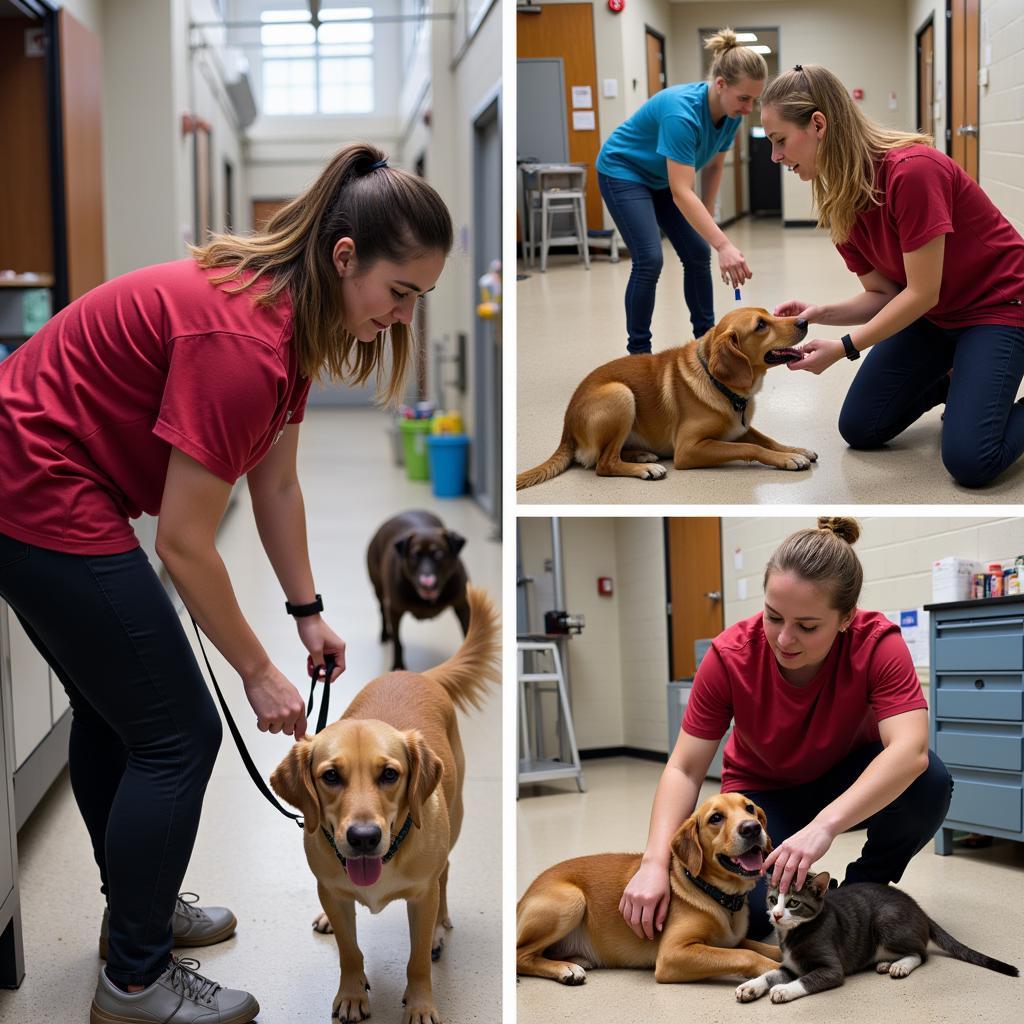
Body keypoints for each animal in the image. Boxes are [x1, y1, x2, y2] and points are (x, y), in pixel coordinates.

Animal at [270, 585, 497, 1024]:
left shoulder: (421, 898)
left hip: (454, 821)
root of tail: (416, 673)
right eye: (330, 776)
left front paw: (422, 1002)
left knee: (445, 875)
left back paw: (440, 928)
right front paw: (352, 993)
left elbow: (417, 961)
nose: (362, 837)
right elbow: (349, 951)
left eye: (390, 775)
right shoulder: (336, 895)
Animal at [516, 305, 819, 489]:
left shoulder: (740, 428)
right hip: (621, 394)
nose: (804, 320)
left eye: (770, 314)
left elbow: (768, 440)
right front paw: (787, 460)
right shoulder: (688, 449)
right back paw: (645, 468)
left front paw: (795, 450)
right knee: (604, 463)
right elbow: (751, 448)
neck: (719, 384)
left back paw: (641, 455)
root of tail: (566, 427)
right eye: (760, 325)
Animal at [516, 790, 778, 983]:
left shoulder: (731, 942)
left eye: (749, 808)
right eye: (715, 818)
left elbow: (762, 947)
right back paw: (565, 969)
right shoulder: (673, 954)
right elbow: (747, 955)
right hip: (572, 900)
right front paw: (774, 969)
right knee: (521, 955)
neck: (718, 896)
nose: (752, 828)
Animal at [737, 868, 1015, 1003]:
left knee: (921, 953)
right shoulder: (790, 964)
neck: (794, 933)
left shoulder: (831, 968)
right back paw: (886, 963)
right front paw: (751, 986)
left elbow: (806, 980)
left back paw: (900, 966)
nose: (776, 915)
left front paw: (783, 990)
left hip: (885, 920)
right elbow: (771, 973)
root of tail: (920, 910)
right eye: (772, 899)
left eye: (793, 903)